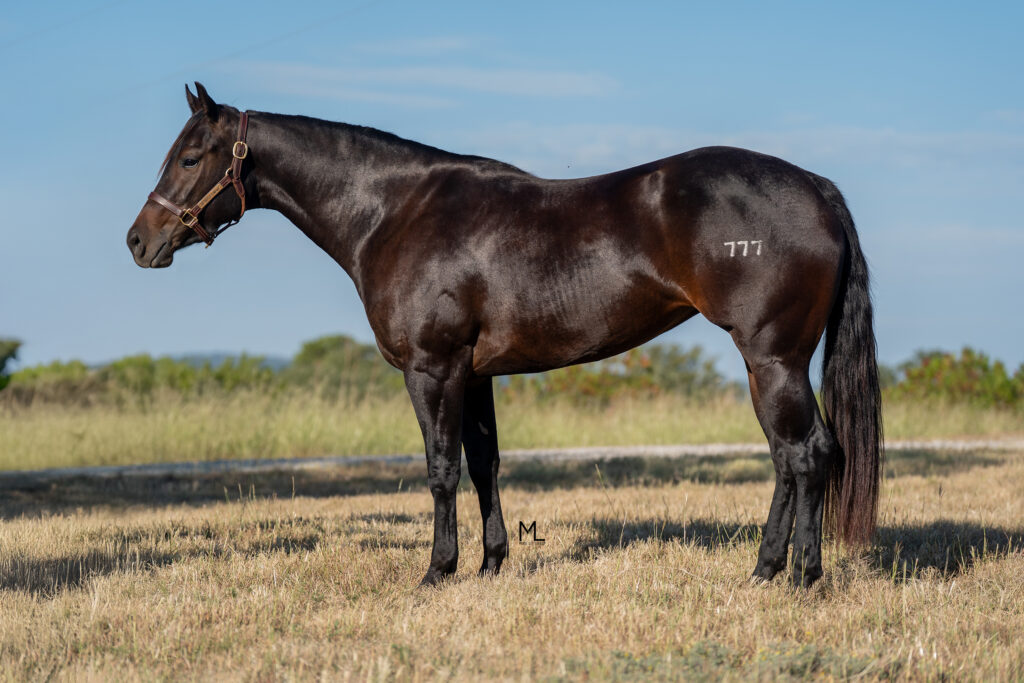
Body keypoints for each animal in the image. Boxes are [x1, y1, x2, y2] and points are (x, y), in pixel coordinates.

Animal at [128, 83, 882, 588]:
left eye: (191, 157)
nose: (139, 241)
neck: (393, 212)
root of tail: (815, 188)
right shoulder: (476, 372)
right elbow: (484, 463)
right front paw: (491, 564)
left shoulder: (433, 367)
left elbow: (440, 468)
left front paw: (438, 570)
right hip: (771, 364)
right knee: (789, 457)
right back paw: (764, 569)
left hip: (773, 358)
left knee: (808, 453)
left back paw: (801, 576)